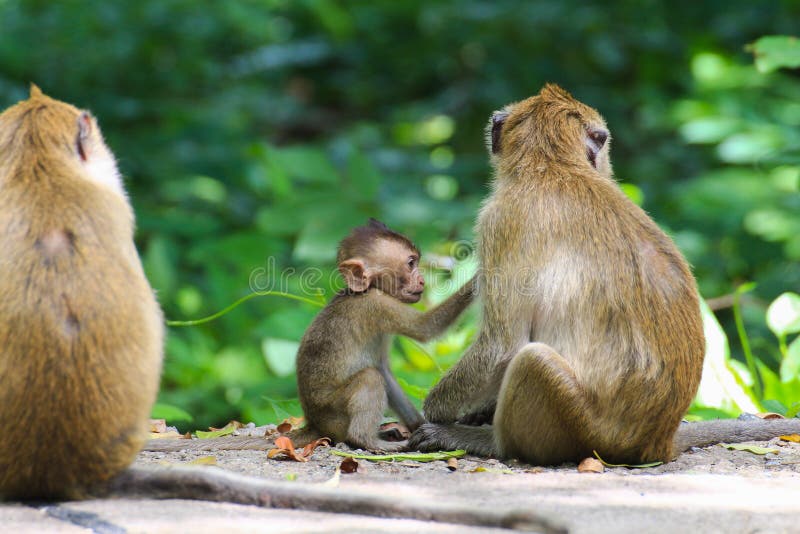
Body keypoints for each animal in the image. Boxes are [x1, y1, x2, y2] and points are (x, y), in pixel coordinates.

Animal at [292, 219, 476, 452]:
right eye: (411, 263)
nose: (422, 281)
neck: (368, 288)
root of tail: (315, 424)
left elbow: (385, 370)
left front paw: (422, 426)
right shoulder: (377, 304)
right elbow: (426, 328)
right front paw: (482, 276)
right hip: (334, 414)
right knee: (370, 377)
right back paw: (366, 440)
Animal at [412, 84, 800, 464]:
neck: (553, 165)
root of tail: (657, 443)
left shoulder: (498, 221)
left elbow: (501, 346)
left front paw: (434, 413)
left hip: (577, 427)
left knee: (533, 361)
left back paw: (487, 442)